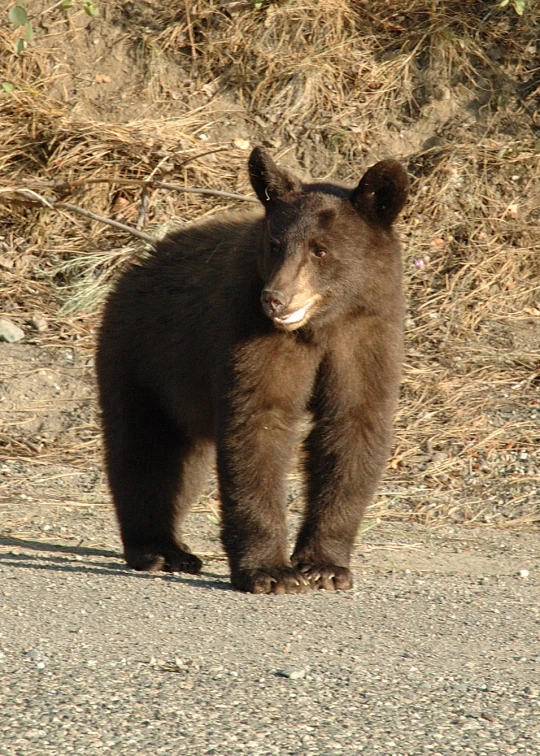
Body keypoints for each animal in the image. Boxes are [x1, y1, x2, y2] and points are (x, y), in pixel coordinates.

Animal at [96, 148, 410, 592]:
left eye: (320, 249)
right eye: (275, 244)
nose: (275, 298)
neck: (321, 327)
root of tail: (138, 263)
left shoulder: (366, 337)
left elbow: (352, 425)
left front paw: (325, 566)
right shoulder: (249, 329)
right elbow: (259, 420)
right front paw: (269, 571)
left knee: (184, 463)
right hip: (142, 355)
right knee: (145, 448)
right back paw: (158, 550)